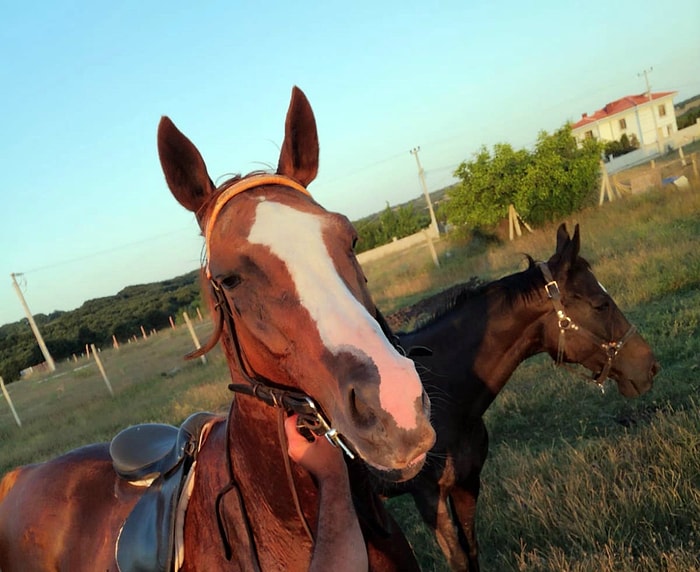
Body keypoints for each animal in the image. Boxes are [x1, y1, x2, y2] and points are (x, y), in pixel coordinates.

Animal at [378, 225, 656, 572]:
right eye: (600, 304)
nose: (650, 366)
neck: (441, 396)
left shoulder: (467, 484)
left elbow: (472, 553)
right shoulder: (429, 498)